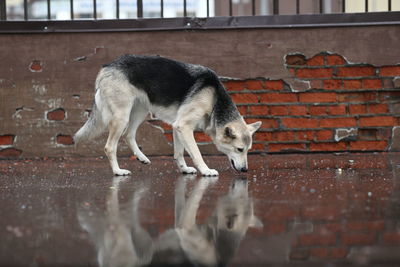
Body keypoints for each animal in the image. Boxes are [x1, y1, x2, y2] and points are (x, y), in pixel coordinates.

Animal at [74, 55, 262, 176]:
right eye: (239, 149)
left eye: (248, 150)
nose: (245, 170)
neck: (215, 100)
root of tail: (107, 66)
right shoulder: (184, 127)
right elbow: (196, 152)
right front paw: (206, 170)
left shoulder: (177, 127)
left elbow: (179, 153)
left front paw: (184, 169)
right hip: (122, 116)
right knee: (110, 147)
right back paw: (118, 171)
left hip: (140, 111)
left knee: (128, 135)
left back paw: (141, 158)